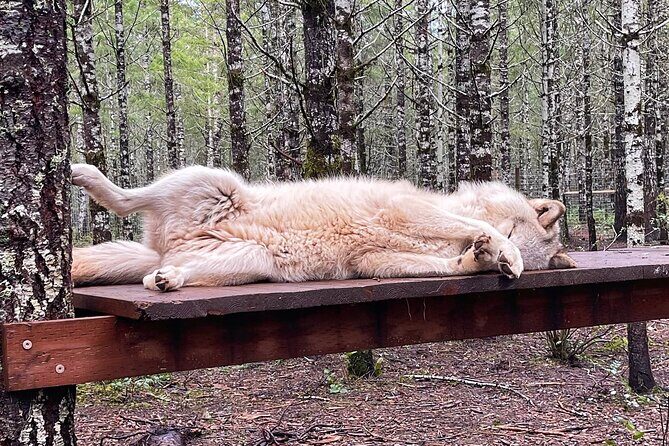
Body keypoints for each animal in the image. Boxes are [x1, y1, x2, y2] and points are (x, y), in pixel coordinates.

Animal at [71, 164, 576, 291]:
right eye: (510, 226)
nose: (498, 248)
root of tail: (164, 248)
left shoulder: (374, 262)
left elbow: (453, 264)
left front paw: (479, 257)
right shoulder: (403, 208)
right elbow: (472, 222)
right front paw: (499, 250)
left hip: (252, 260)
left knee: (149, 276)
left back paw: (167, 279)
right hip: (212, 180)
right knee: (127, 197)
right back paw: (86, 175)